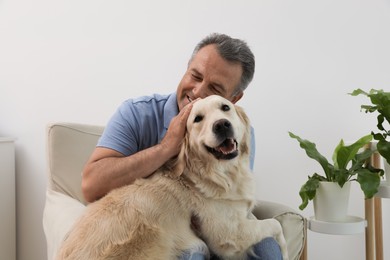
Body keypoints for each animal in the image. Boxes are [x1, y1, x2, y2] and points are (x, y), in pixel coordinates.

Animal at [58, 95, 290, 260]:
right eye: (198, 119)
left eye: (225, 107)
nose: (222, 125)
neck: (221, 174)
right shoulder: (228, 236)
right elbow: (275, 225)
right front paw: (286, 251)